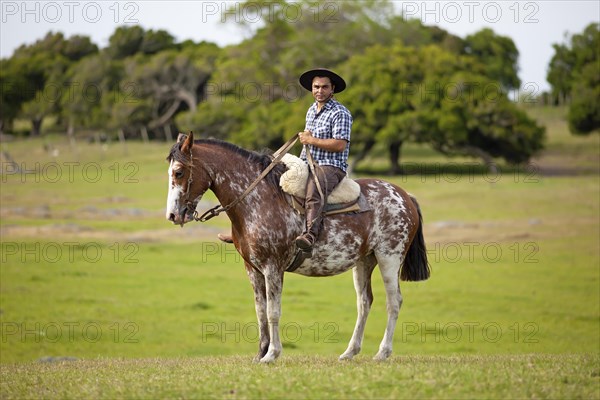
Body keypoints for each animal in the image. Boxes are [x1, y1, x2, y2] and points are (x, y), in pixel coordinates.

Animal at [164, 133, 428, 364]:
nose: (173, 215)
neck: (256, 200)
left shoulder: (272, 268)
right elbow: (260, 311)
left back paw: (383, 352)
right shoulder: (252, 268)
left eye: (179, 172)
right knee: (364, 302)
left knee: (394, 301)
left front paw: (272, 354)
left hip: (389, 258)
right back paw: (349, 352)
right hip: (364, 261)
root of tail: (404, 195)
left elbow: (273, 311)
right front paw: (260, 353)